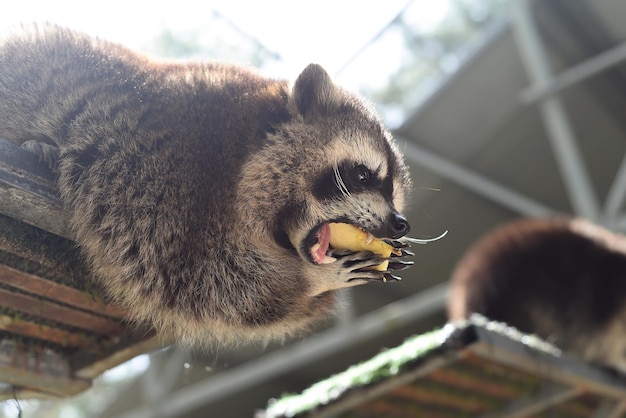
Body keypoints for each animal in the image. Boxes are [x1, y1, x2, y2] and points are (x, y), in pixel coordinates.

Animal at [1, 25, 414, 342]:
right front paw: (313, 279)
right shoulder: (162, 166)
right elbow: (192, 277)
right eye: (361, 175)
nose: (400, 223)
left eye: (396, 197)